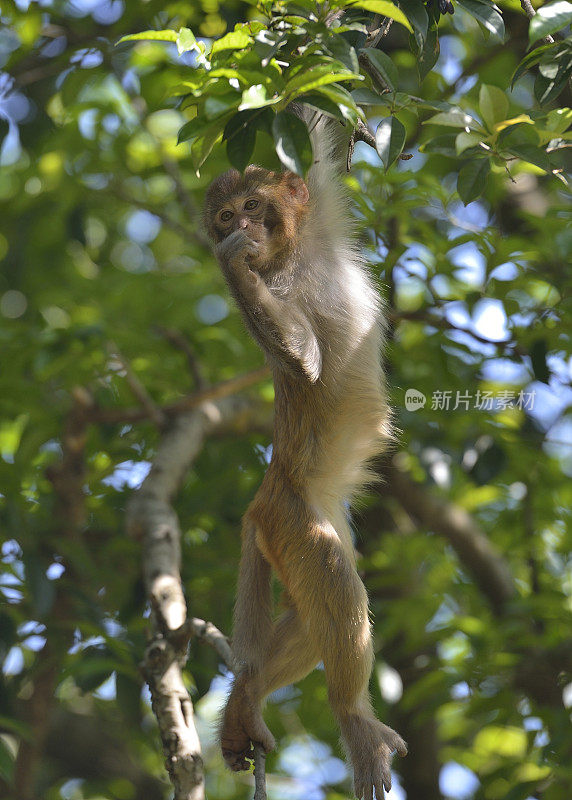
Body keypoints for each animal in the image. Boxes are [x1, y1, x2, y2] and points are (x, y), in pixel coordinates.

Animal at [206, 108, 406, 800]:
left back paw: (244, 700)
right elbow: (304, 358)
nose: (239, 229)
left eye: (251, 204)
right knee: (337, 587)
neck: (295, 255)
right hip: (293, 520)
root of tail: (266, 493)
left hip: (305, 522)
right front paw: (232, 267)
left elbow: (314, 138)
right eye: (225, 216)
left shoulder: (319, 210)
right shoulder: (280, 289)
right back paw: (354, 720)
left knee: (313, 616)